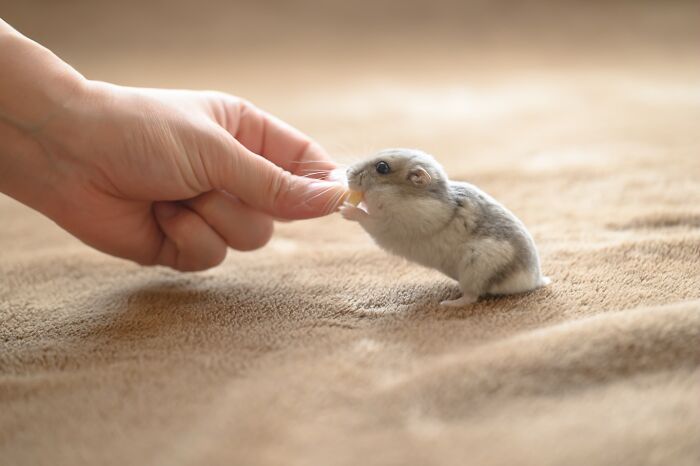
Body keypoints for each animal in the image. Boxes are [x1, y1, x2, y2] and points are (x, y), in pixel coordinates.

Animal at [339, 148, 550, 306]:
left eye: (382, 167)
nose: (347, 171)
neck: (404, 196)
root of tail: (534, 281)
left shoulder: (390, 225)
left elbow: (368, 218)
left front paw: (344, 209)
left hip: (477, 266)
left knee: (472, 297)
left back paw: (448, 303)